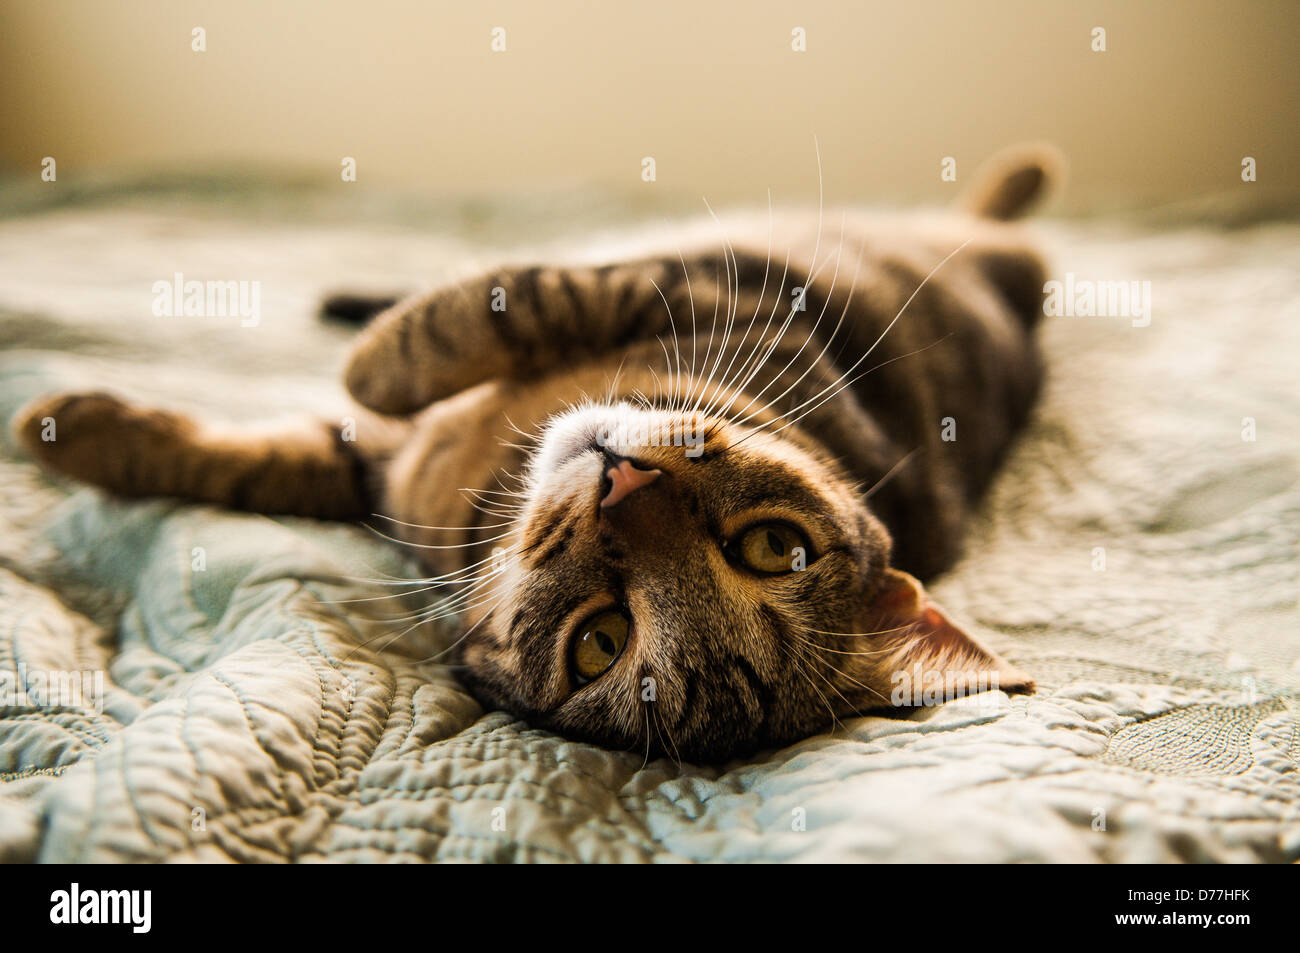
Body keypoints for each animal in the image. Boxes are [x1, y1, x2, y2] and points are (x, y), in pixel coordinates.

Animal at [15, 146, 1060, 759]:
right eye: (776, 547)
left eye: (601, 641)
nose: (622, 481)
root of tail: (1009, 262)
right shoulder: (674, 282)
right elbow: (478, 314)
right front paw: (77, 428)